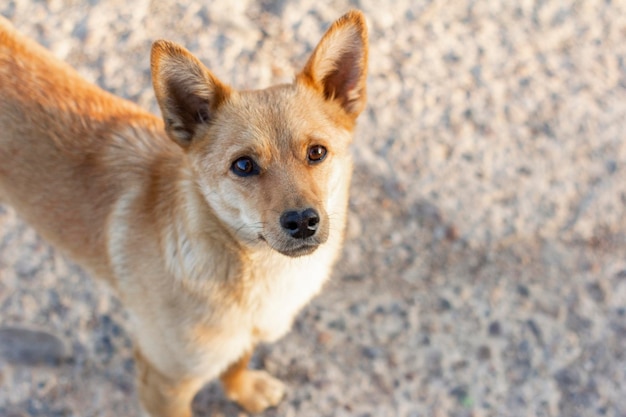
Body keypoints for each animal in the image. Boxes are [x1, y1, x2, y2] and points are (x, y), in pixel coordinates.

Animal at [0, 9, 366, 416]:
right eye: (243, 165)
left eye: (317, 152)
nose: (302, 221)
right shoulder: (163, 383)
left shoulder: (241, 337)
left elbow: (237, 359)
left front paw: (242, 390)